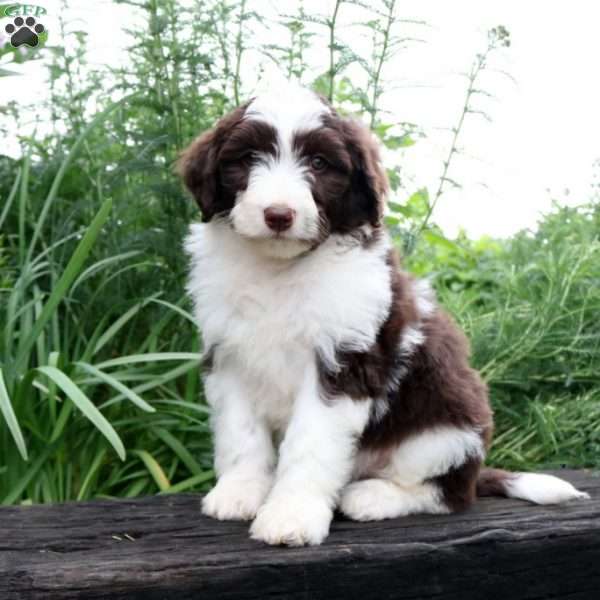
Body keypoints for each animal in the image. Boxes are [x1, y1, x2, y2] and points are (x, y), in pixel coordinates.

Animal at [179, 84, 592, 548]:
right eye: (249, 158)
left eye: (319, 164)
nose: (279, 215)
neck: (280, 270)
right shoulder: (229, 354)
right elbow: (240, 433)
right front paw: (239, 491)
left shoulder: (344, 363)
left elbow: (310, 444)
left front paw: (291, 514)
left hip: (445, 430)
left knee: (448, 494)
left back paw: (373, 497)